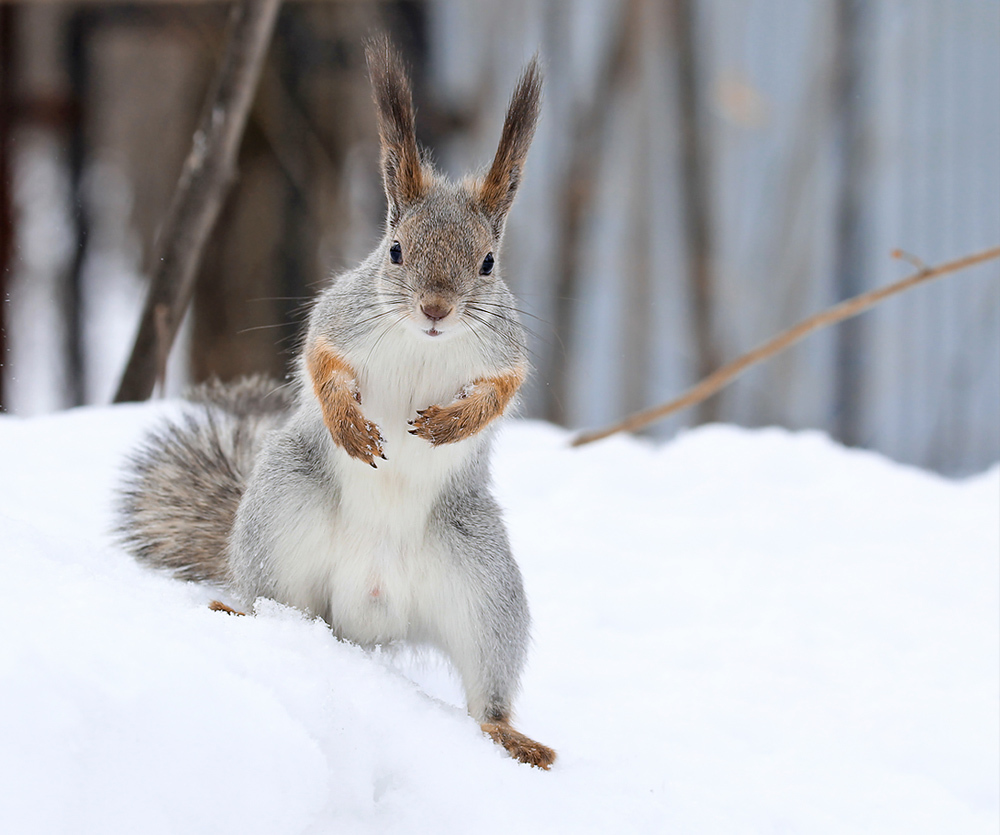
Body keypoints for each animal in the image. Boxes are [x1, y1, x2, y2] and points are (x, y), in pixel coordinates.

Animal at [120, 37, 556, 772]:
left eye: (489, 262)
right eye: (395, 251)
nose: (436, 308)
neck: (423, 342)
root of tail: (365, 611)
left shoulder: (505, 351)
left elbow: (501, 391)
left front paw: (452, 422)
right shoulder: (340, 318)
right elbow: (320, 359)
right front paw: (350, 425)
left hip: (483, 584)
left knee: (487, 691)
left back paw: (510, 737)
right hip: (281, 518)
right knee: (268, 601)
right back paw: (238, 613)